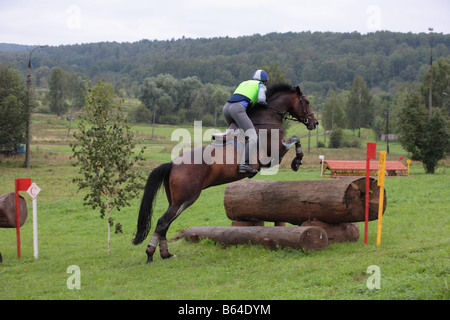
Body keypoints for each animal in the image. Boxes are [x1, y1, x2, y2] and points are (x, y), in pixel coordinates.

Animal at [132, 82, 318, 262]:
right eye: (307, 102)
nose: (314, 122)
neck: (267, 118)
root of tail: (172, 164)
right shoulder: (275, 153)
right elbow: (295, 139)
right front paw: (297, 161)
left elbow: (295, 139)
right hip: (186, 198)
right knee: (162, 221)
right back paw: (150, 253)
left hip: (176, 200)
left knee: (166, 223)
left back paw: (166, 254)